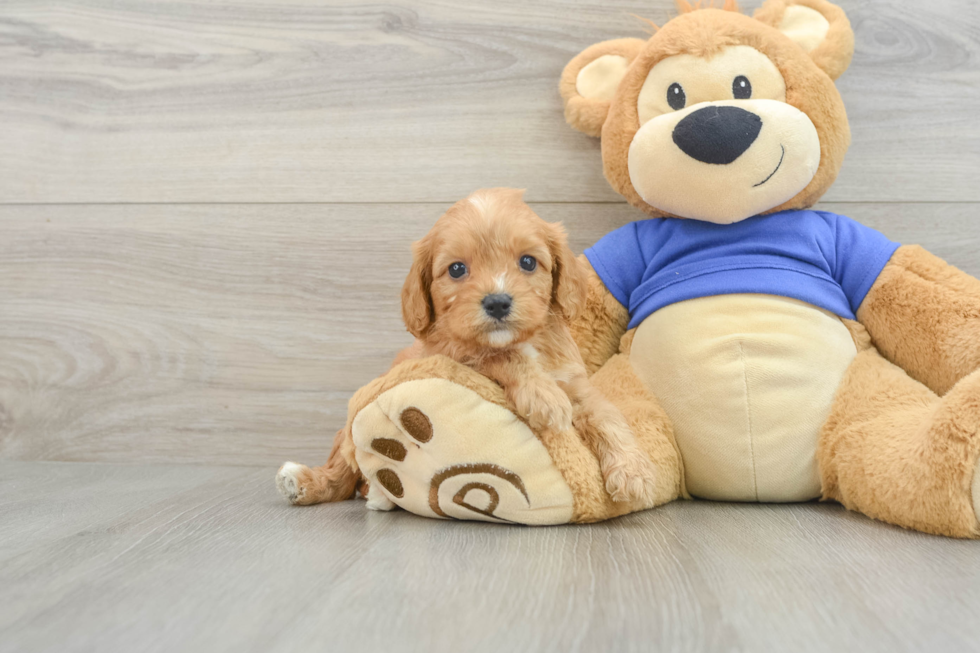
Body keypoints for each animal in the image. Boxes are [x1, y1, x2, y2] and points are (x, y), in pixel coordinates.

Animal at [276, 188, 660, 510]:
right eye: (457, 269)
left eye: (528, 262)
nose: (497, 303)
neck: (525, 341)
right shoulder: (454, 355)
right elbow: (500, 355)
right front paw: (543, 397)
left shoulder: (575, 382)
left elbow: (607, 416)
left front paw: (634, 472)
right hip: (349, 433)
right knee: (343, 470)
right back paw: (308, 482)